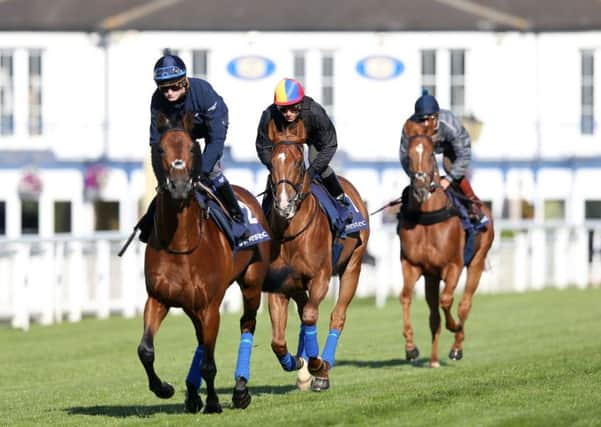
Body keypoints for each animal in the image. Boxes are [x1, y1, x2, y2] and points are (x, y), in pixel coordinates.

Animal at [138, 112, 270, 412]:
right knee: (201, 339)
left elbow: (209, 364)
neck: (181, 245)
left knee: (247, 323)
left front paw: (213, 402)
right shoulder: (158, 298)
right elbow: (146, 349)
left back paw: (240, 390)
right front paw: (163, 388)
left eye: (192, 148)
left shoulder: (210, 305)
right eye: (160, 149)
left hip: (251, 282)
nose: (179, 186)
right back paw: (192, 393)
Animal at [264, 122, 370, 392]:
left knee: (337, 315)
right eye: (272, 163)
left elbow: (312, 316)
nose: (283, 204)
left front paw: (317, 365)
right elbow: (277, 341)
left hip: (352, 266)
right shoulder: (279, 286)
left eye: (298, 163)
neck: (292, 234)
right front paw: (296, 362)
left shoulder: (321, 277)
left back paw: (322, 371)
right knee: (303, 312)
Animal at [398, 119, 492, 368]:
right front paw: (410, 347)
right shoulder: (412, 265)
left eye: (431, 154)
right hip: (431, 277)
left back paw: (457, 347)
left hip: (477, 261)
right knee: (433, 316)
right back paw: (433, 360)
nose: (421, 187)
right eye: (409, 155)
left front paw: (455, 327)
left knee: (464, 304)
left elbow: (448, 300)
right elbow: (405, 297)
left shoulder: (454, 265)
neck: (428, 217)